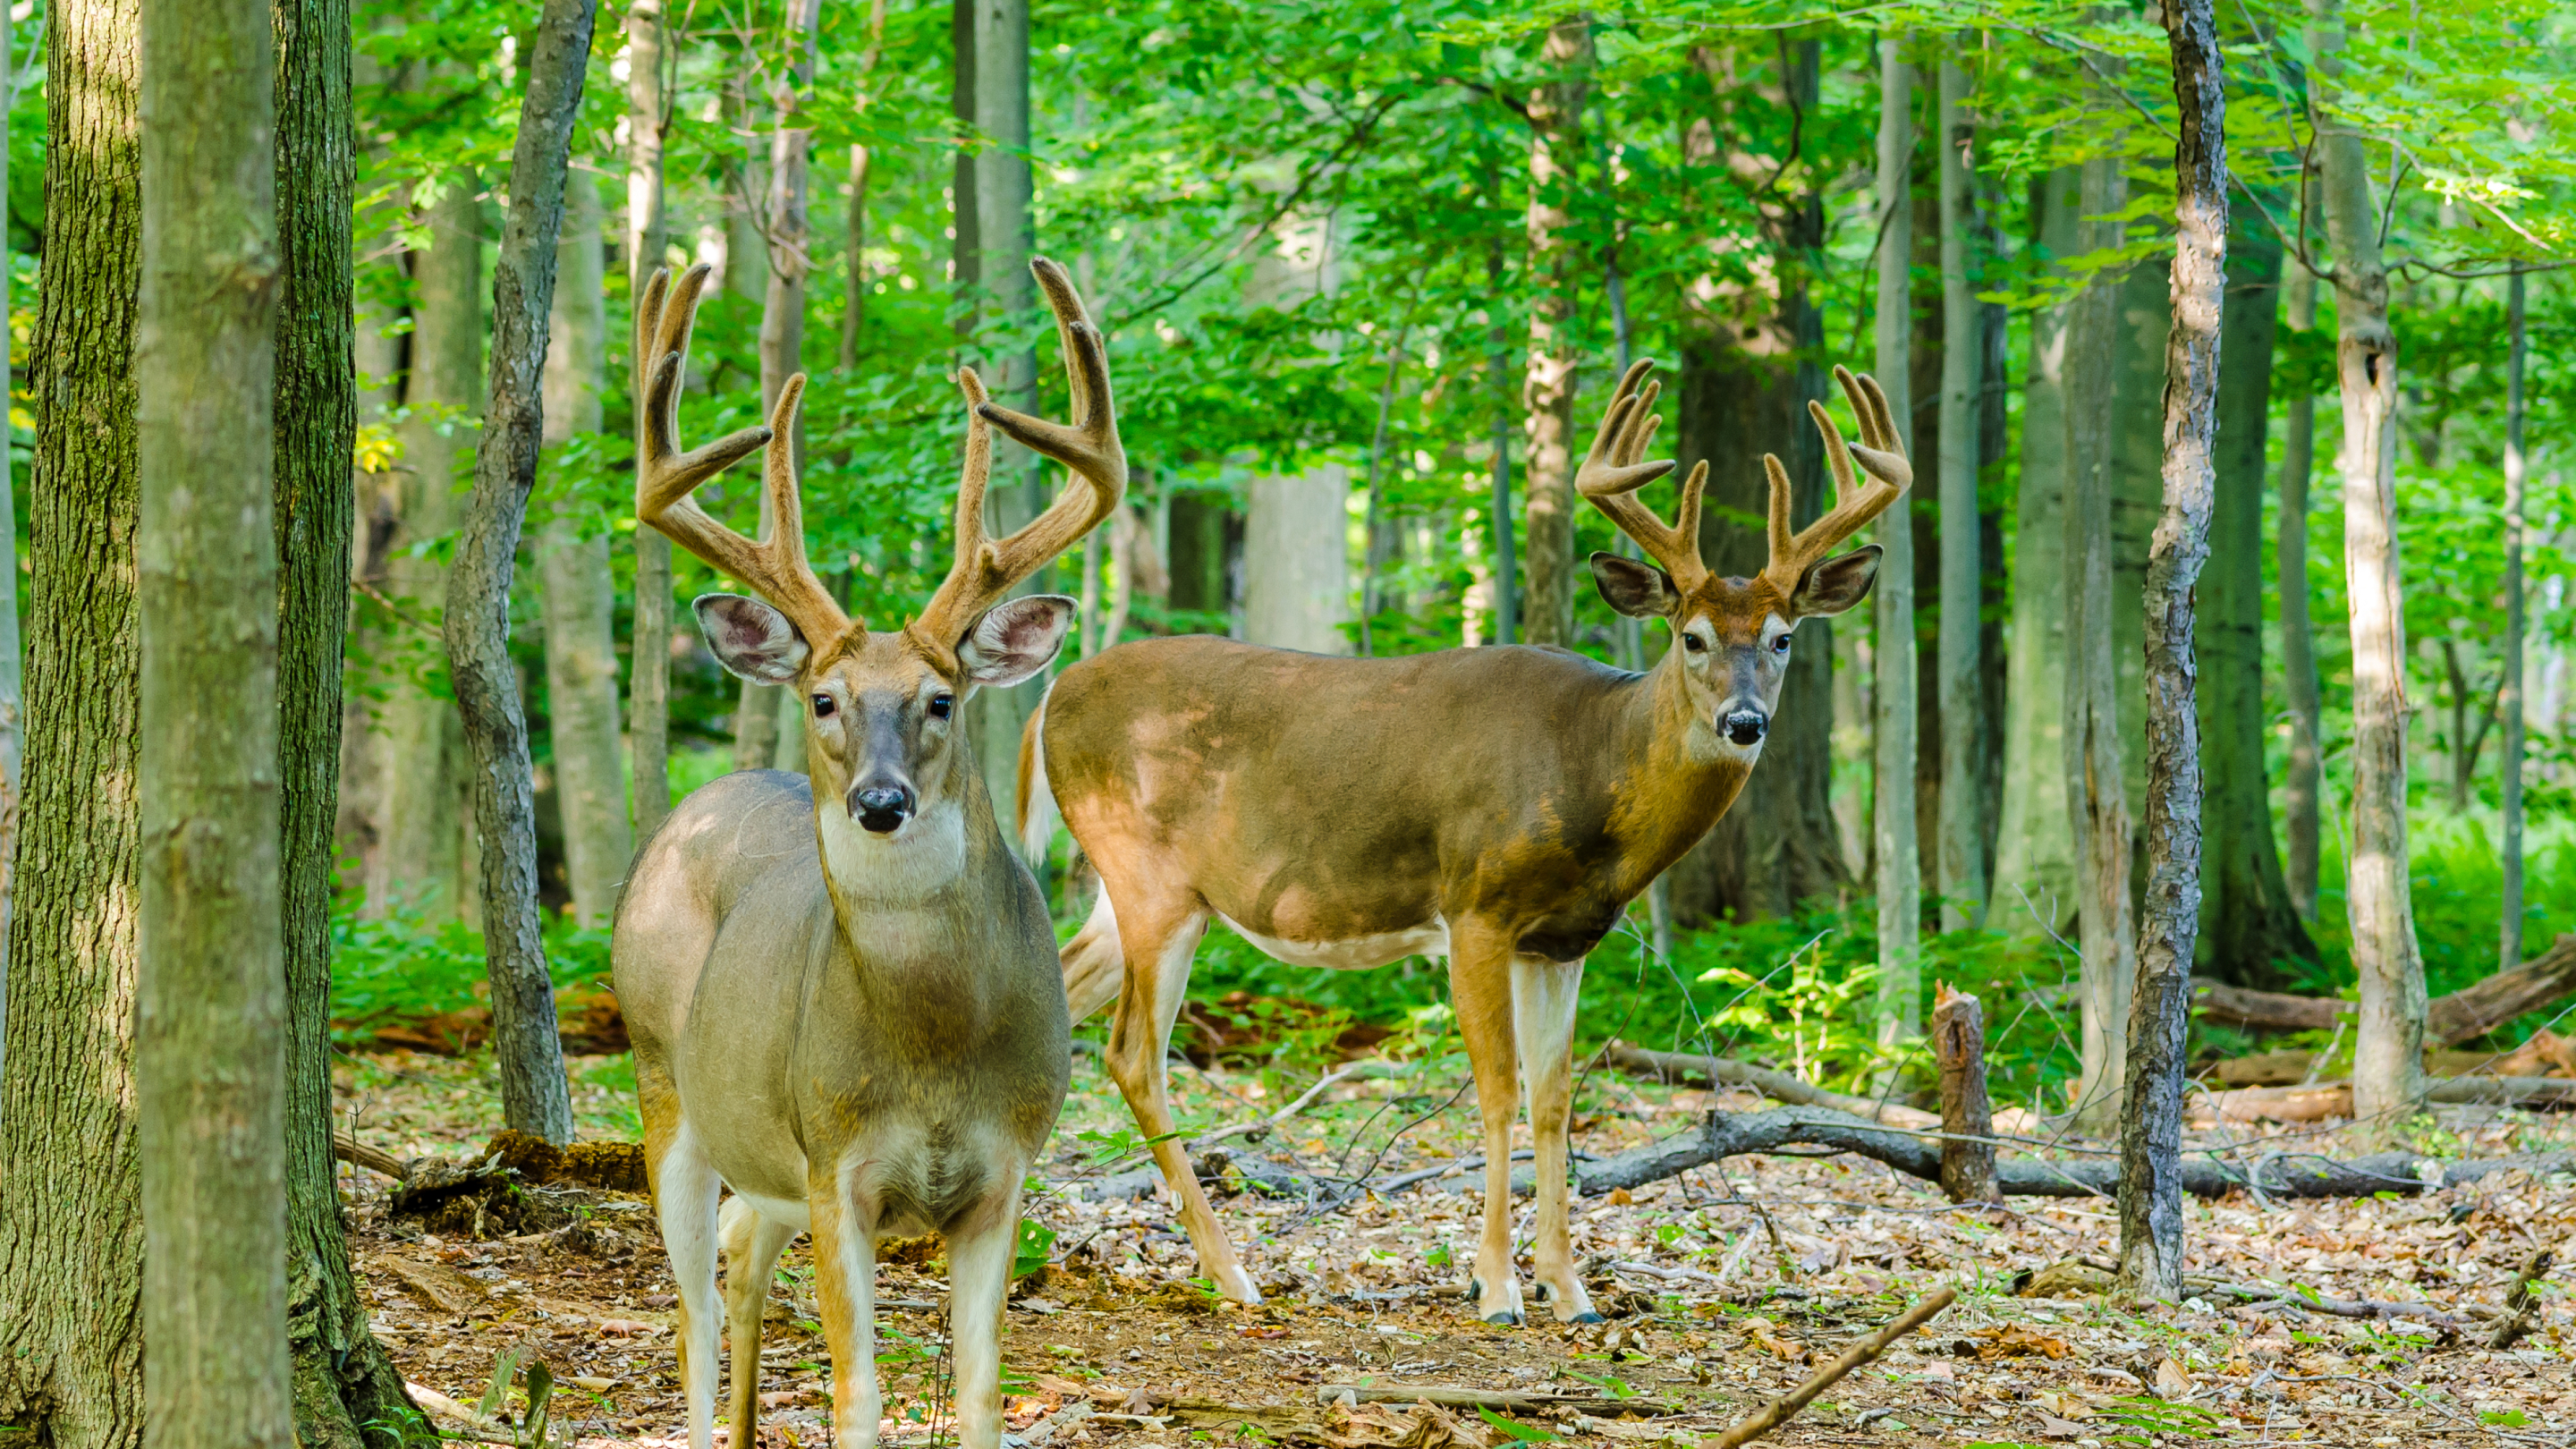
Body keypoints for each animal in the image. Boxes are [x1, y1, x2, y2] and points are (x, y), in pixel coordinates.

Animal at [614, 257, 1122, 1449]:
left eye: (941, 697)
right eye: (826, 698)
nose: (880, 802)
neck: (933, 1050)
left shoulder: (1005, 1169)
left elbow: (979, 1395)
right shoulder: (835, 1158)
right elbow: (859, 1399)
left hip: (762, 1154)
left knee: (741, 1252)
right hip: (662, 1078)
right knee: (689, 1308)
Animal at [1020, 361, 1909, 1322]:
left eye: (1783, 638)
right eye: (1692, 636)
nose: (1743, 722)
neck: (1591, 768)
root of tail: (1050, 696)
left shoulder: (1560, 941)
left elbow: (1557, 1099)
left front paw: (1570, 1287)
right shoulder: (1477, 908)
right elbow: (1497, 1092)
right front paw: (1497, 1287)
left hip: (1124, 888)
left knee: (1063, 995)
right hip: (1149, 874)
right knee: (1133, 1054)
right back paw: (1232, 1274)